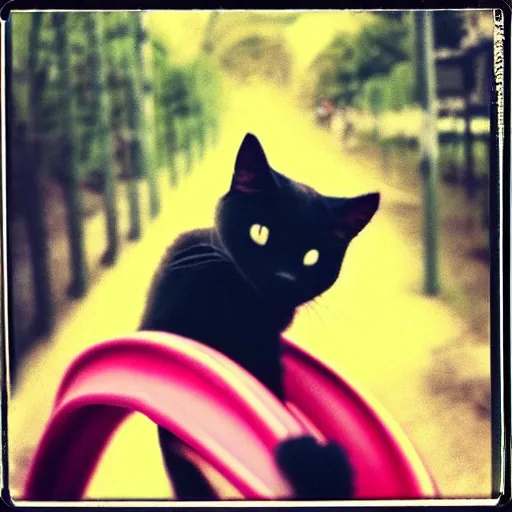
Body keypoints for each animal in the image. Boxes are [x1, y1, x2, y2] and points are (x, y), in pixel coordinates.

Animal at [140, 133, 380, 500]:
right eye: (260, 233)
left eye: (312, 256)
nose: (282, 277)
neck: (246, 310)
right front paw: (315, 462)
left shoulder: (266, 351)